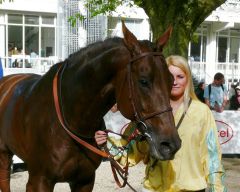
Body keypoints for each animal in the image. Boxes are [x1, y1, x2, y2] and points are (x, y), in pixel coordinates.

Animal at [0, 21, 181, 191]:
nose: (171, 144)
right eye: (143, 81)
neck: (69, 119)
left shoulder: (84, 180)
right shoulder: (39, 181)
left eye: (171, 80)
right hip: (4, 153)